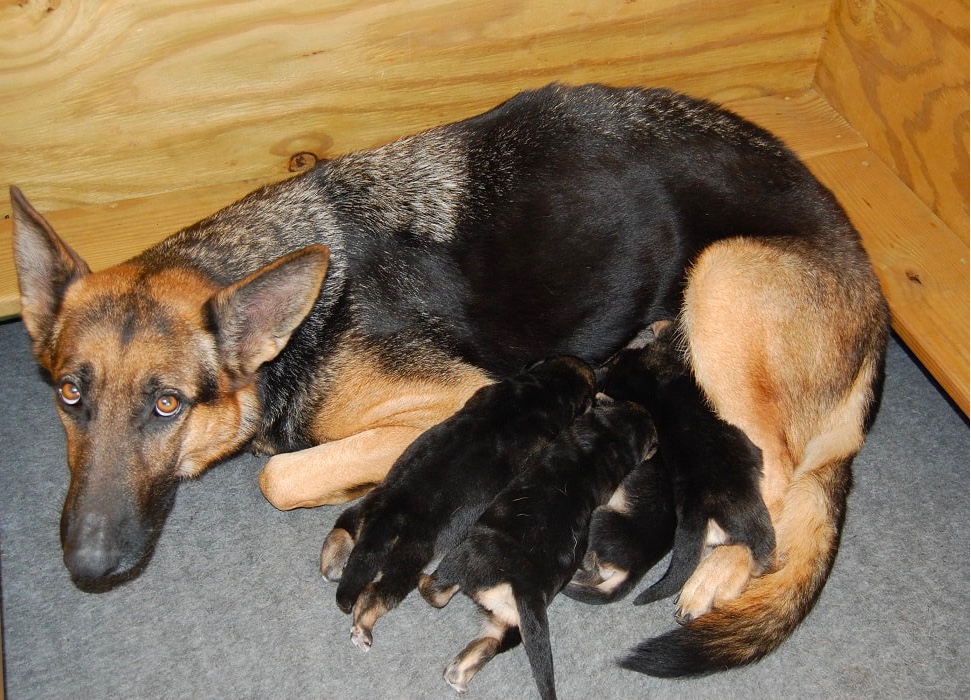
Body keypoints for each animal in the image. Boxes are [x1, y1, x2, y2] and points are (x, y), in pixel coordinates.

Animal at [318, 356, 596, 652]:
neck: (543, 388)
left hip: (365, 507)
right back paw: (363, 628)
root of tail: (385, 518)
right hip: (406, 560)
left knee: (343, 529)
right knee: (376, 595)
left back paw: (331, 562)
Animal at [420, 396, 660, 696]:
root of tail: (524, 588)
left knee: (438, 592)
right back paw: (457, 678)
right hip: (509, 622)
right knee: (487, 645)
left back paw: (423, 581)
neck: (609, 436)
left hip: (464, 560)